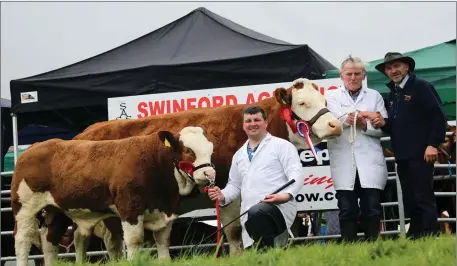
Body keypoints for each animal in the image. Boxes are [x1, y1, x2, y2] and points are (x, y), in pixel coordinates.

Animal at [10, 125, 216, 266]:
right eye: (188, 150)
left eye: (211, 149)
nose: (209, 174)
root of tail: (33, 147)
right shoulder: (130, 207)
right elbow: (134, 240)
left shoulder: (164, 211)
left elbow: (163, 241)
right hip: (25, 208)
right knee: (23, 239)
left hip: (56, 209)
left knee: (50, 239)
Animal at [64, 77, 342, 260]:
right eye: (302, 103)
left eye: (324, 99)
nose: (334, 125)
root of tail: (85, 133)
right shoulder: (229, 190)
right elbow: (234, 230)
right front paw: (237, 256)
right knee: (87, 237)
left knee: (102, 240)